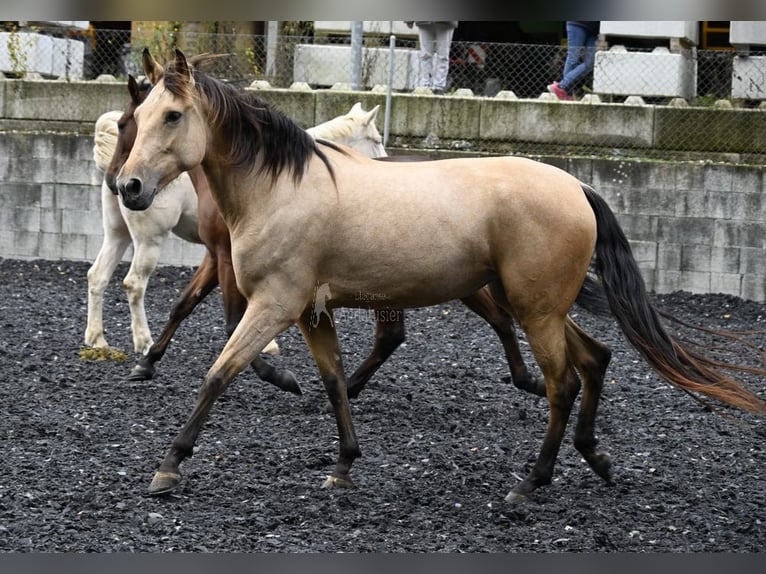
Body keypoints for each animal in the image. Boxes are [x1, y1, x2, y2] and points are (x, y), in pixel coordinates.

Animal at [85, 101, 384, 358]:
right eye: (377, 140)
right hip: (149, 241)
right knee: (133, 283)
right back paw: (143, 341)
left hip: (118, 234)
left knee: (97, 276)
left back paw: (97, 338)